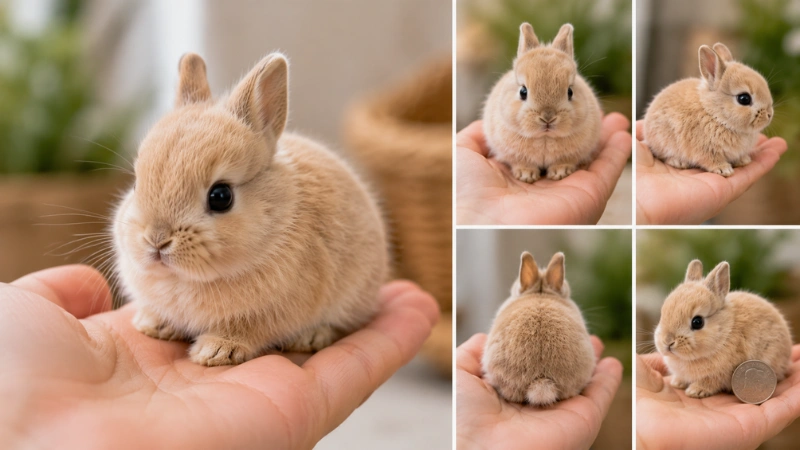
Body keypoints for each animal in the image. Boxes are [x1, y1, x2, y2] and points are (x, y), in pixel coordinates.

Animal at [112, 52, 389, 366]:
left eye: (221, 196)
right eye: (136, 184)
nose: (156, 240)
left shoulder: (269, 314)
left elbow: (247, 329)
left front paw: (215, 351)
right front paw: (152, 325)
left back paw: (311, 337)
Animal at [482, 23, 602, 183]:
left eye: (570, 92)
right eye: (523, 92)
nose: (548, 118)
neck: (545, 137)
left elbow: (564, 161)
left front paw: (560, 173)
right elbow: (522, 163)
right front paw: (526, 175)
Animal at [644, 43, 774, 177]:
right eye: (744, 99)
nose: (769, 115)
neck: (715, 114)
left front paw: (744, 160)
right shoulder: (705, 150)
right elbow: (710, 160)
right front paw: (724, 169)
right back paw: (679, 162)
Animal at [654, 260, 792, 398]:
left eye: (697, 322)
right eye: (662, 314)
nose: (667, 341)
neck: (724, 334)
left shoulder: (719, 375)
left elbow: (710, 382)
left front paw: (694, 391)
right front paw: (677, 383)